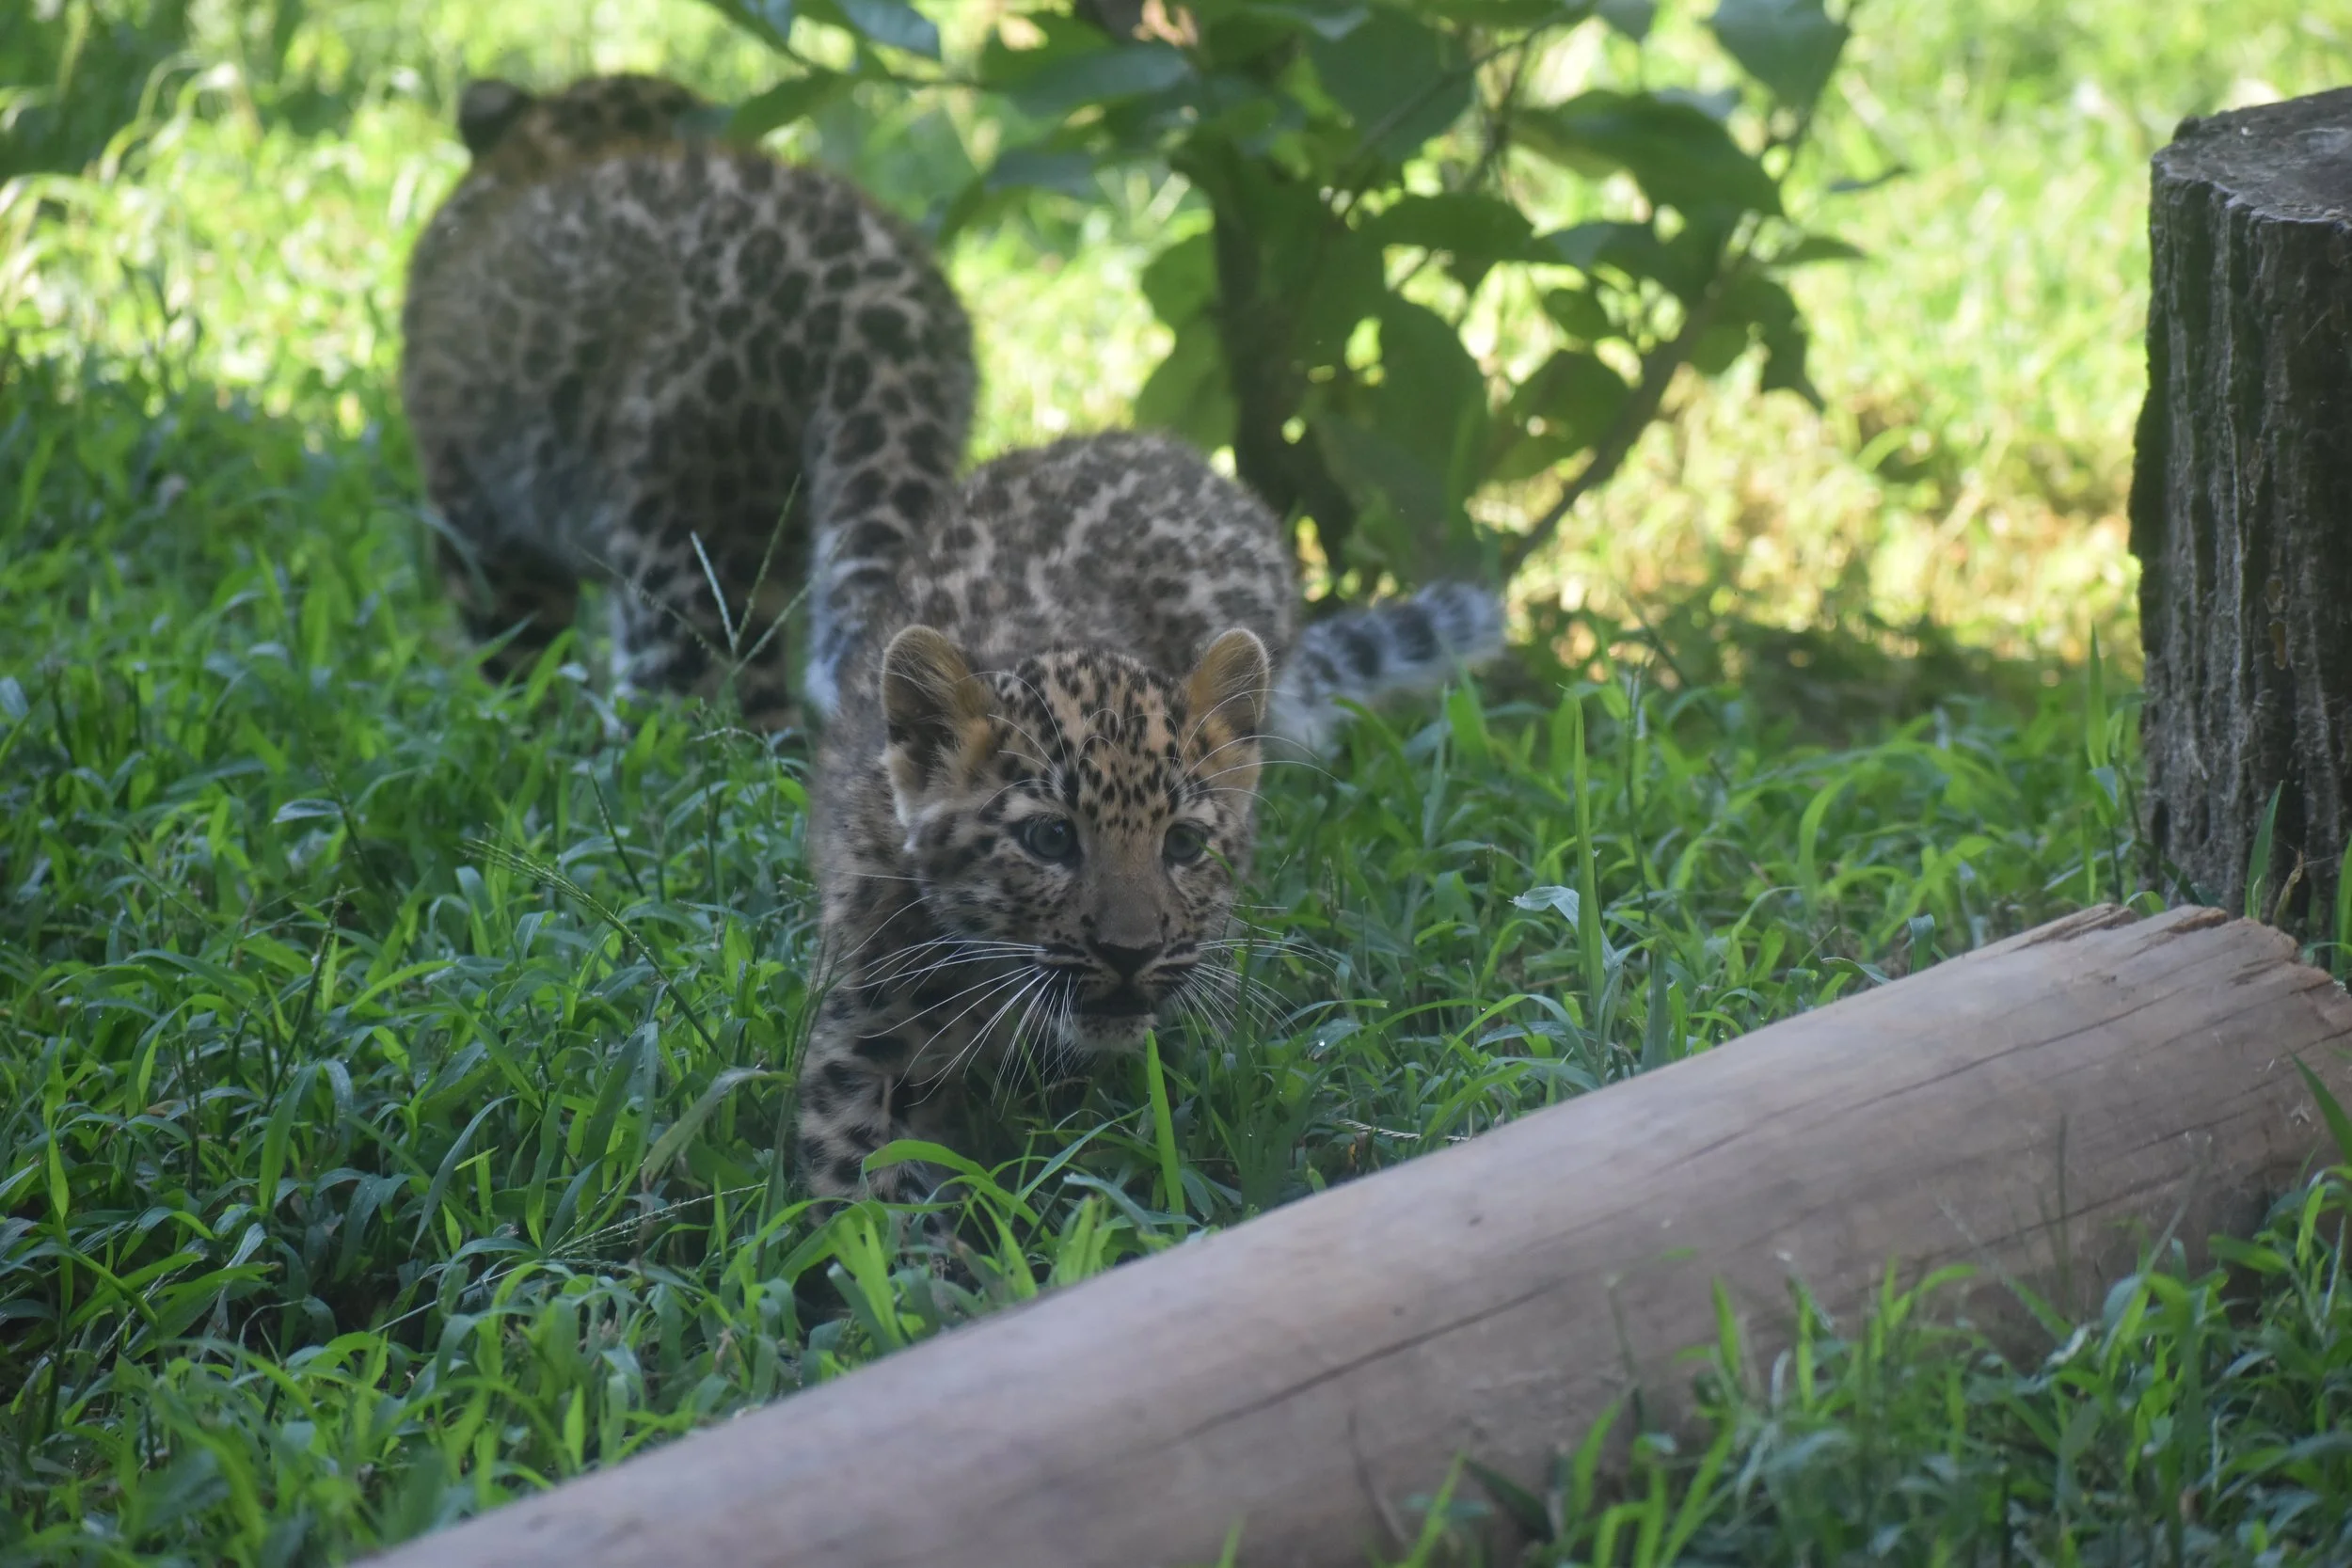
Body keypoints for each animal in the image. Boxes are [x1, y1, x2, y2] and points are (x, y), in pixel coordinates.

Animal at [399, 73, 974, 729]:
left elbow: (516, 652)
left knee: (705, 710)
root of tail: (870, 300)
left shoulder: (478, 515)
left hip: (680, 533)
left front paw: (518, 725)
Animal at [796, 430, 1506, 1202]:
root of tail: (1158, 444)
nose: (1129, 954)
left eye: (1185, 844)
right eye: (1050, 839)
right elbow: (857, 1195)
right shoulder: (860, 1042)